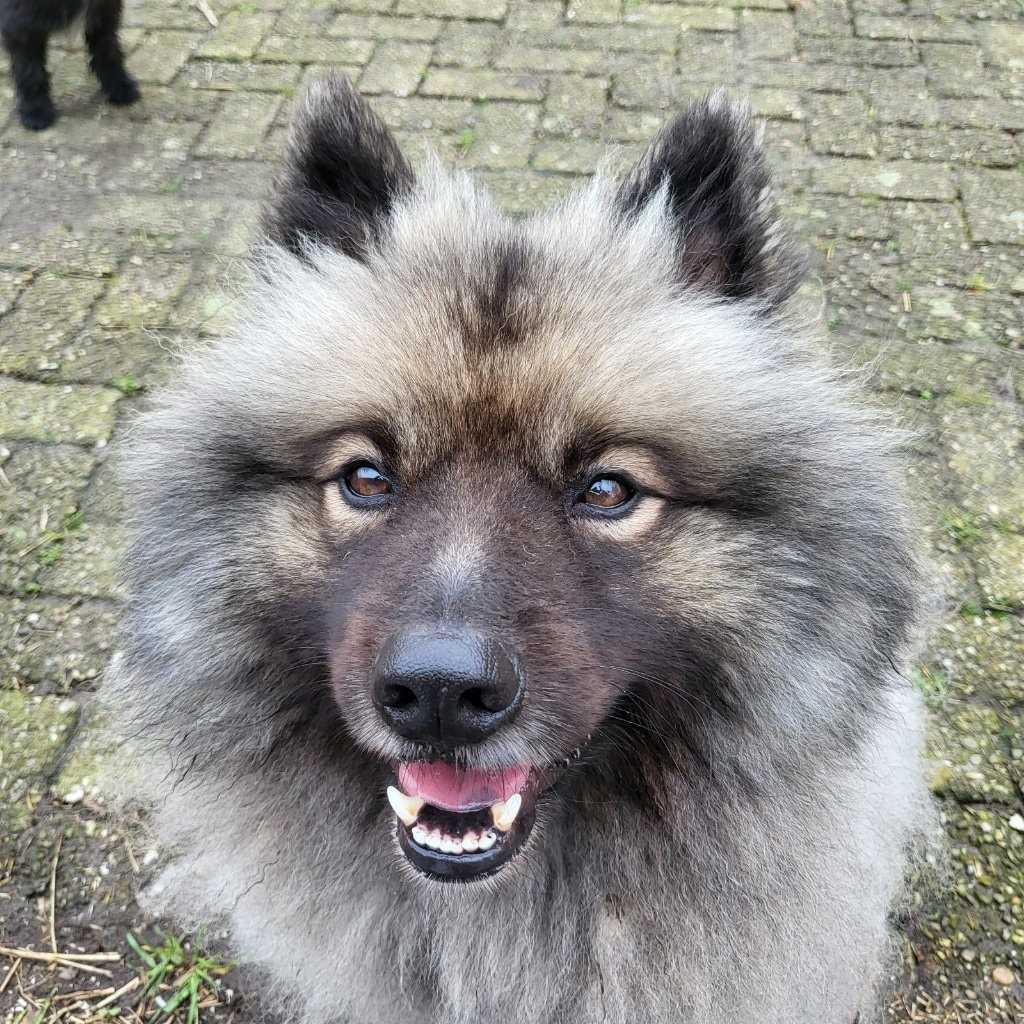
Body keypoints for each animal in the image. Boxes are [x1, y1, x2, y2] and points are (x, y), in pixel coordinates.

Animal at [0, 0, 138, 130]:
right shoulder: (22, 22)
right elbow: (30, 71)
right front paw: (35, 109)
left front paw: (118, 85)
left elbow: (107, 49)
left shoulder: (103, 11)